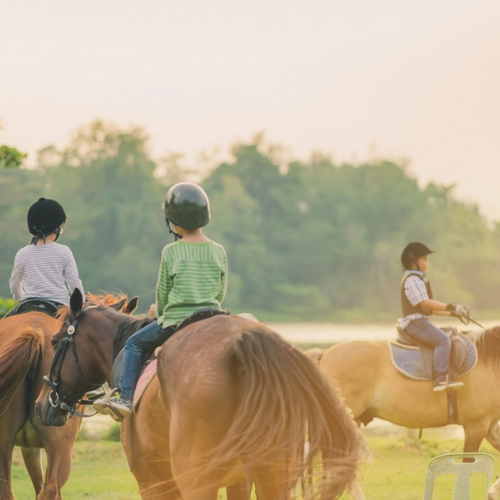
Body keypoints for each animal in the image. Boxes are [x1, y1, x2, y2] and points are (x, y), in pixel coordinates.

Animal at [34, 290, 364, 500]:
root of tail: (244, 344)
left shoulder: (153, 482)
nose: (41, 404)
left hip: (196, 480)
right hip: (275, 476)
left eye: (55, 341)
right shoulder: (239, 481)